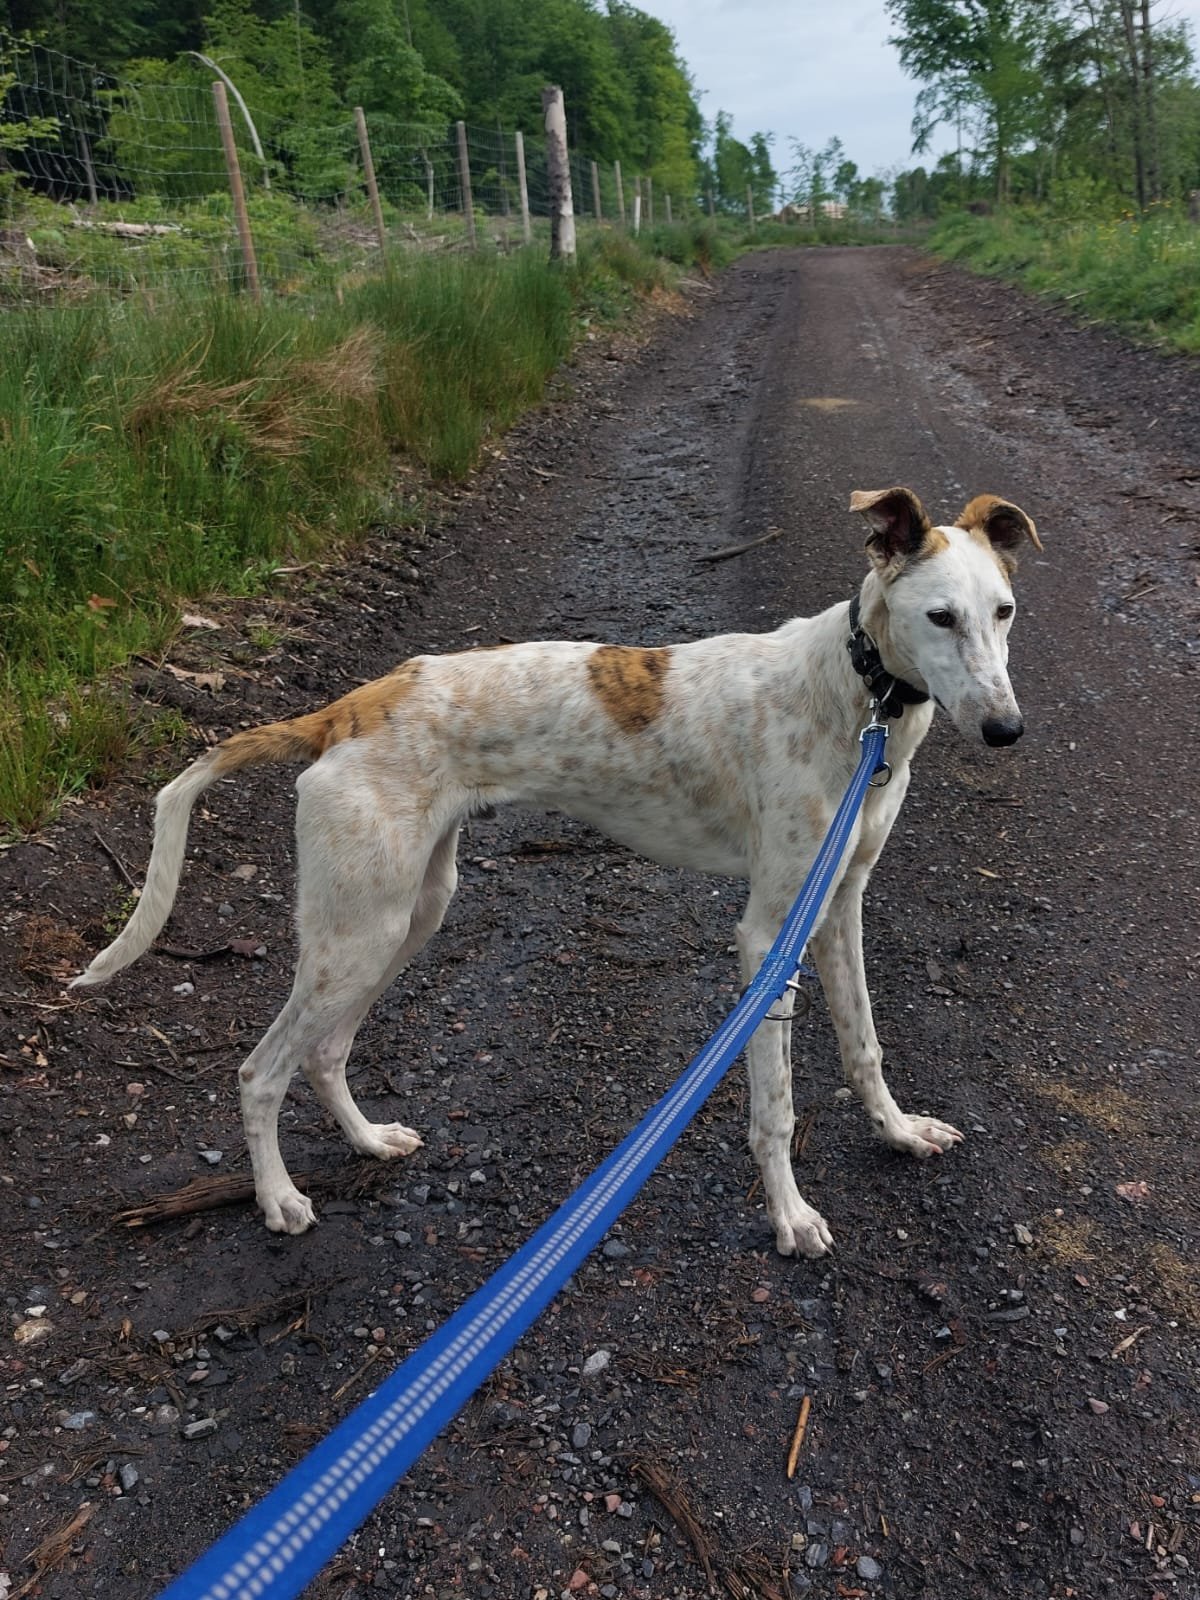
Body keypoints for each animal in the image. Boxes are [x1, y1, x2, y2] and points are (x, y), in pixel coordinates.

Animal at [73, 486, 1040, 1256]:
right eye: (940, 617)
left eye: (1004, 611)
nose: (1006, 731)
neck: (860, 696)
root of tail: (346, 709)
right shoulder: (770, 932)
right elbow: (775, 1104)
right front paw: (790, 1217)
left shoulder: (839, 907)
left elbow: (864, 1044)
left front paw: (899, 1133)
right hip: (358, 930)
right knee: (261, 1069)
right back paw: (278, 1199)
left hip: (408, 913)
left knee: (326, 1050)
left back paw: (368, 1143)